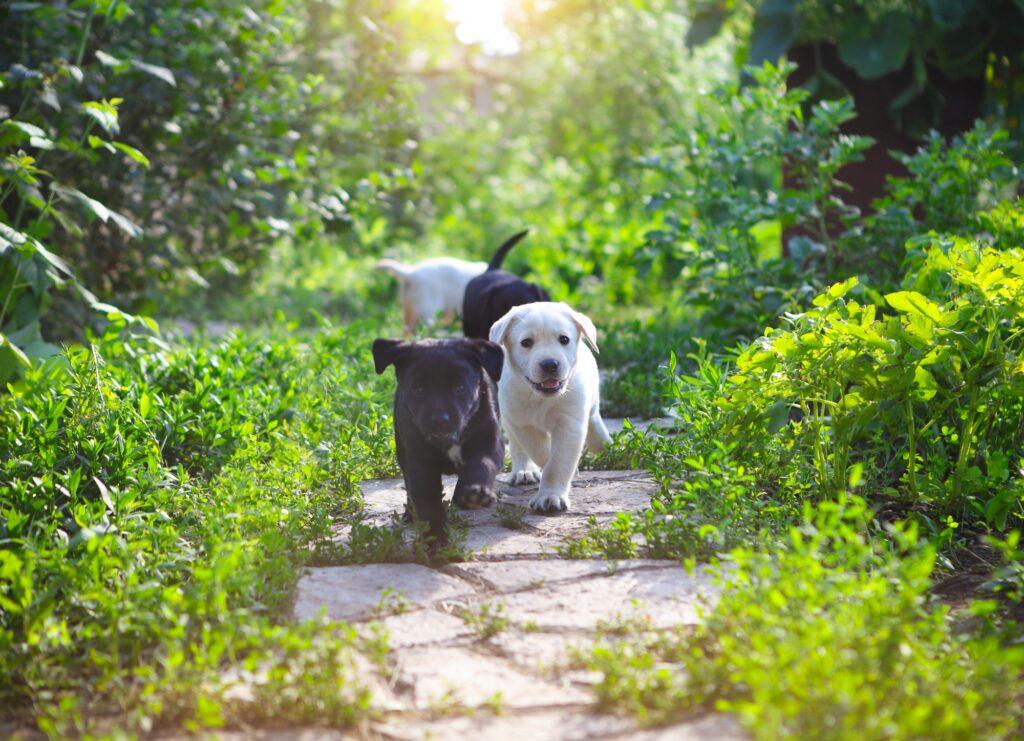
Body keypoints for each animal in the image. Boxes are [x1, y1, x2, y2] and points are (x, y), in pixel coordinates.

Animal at [374, 337, 505, 548]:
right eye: (418, 389)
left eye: (460, 388)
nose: (440, 419)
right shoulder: (420, 461)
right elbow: (428, 503)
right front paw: (436, 541)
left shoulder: (489, 442)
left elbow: (482, 463)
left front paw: (476, 492)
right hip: (402, 451)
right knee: (408, 484)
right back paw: (410, 514)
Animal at [491, 302, 610, 511]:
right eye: (526, 343)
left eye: (564, 339)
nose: (550, 364)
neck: (541, 397)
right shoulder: (520, 422)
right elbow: (540, 451)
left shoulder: (570, 423)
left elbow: (558, 461)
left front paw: (550, 496)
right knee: (517, 446)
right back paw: (524, 471)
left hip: (593, 402)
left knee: (594, 421)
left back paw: (604, 446)